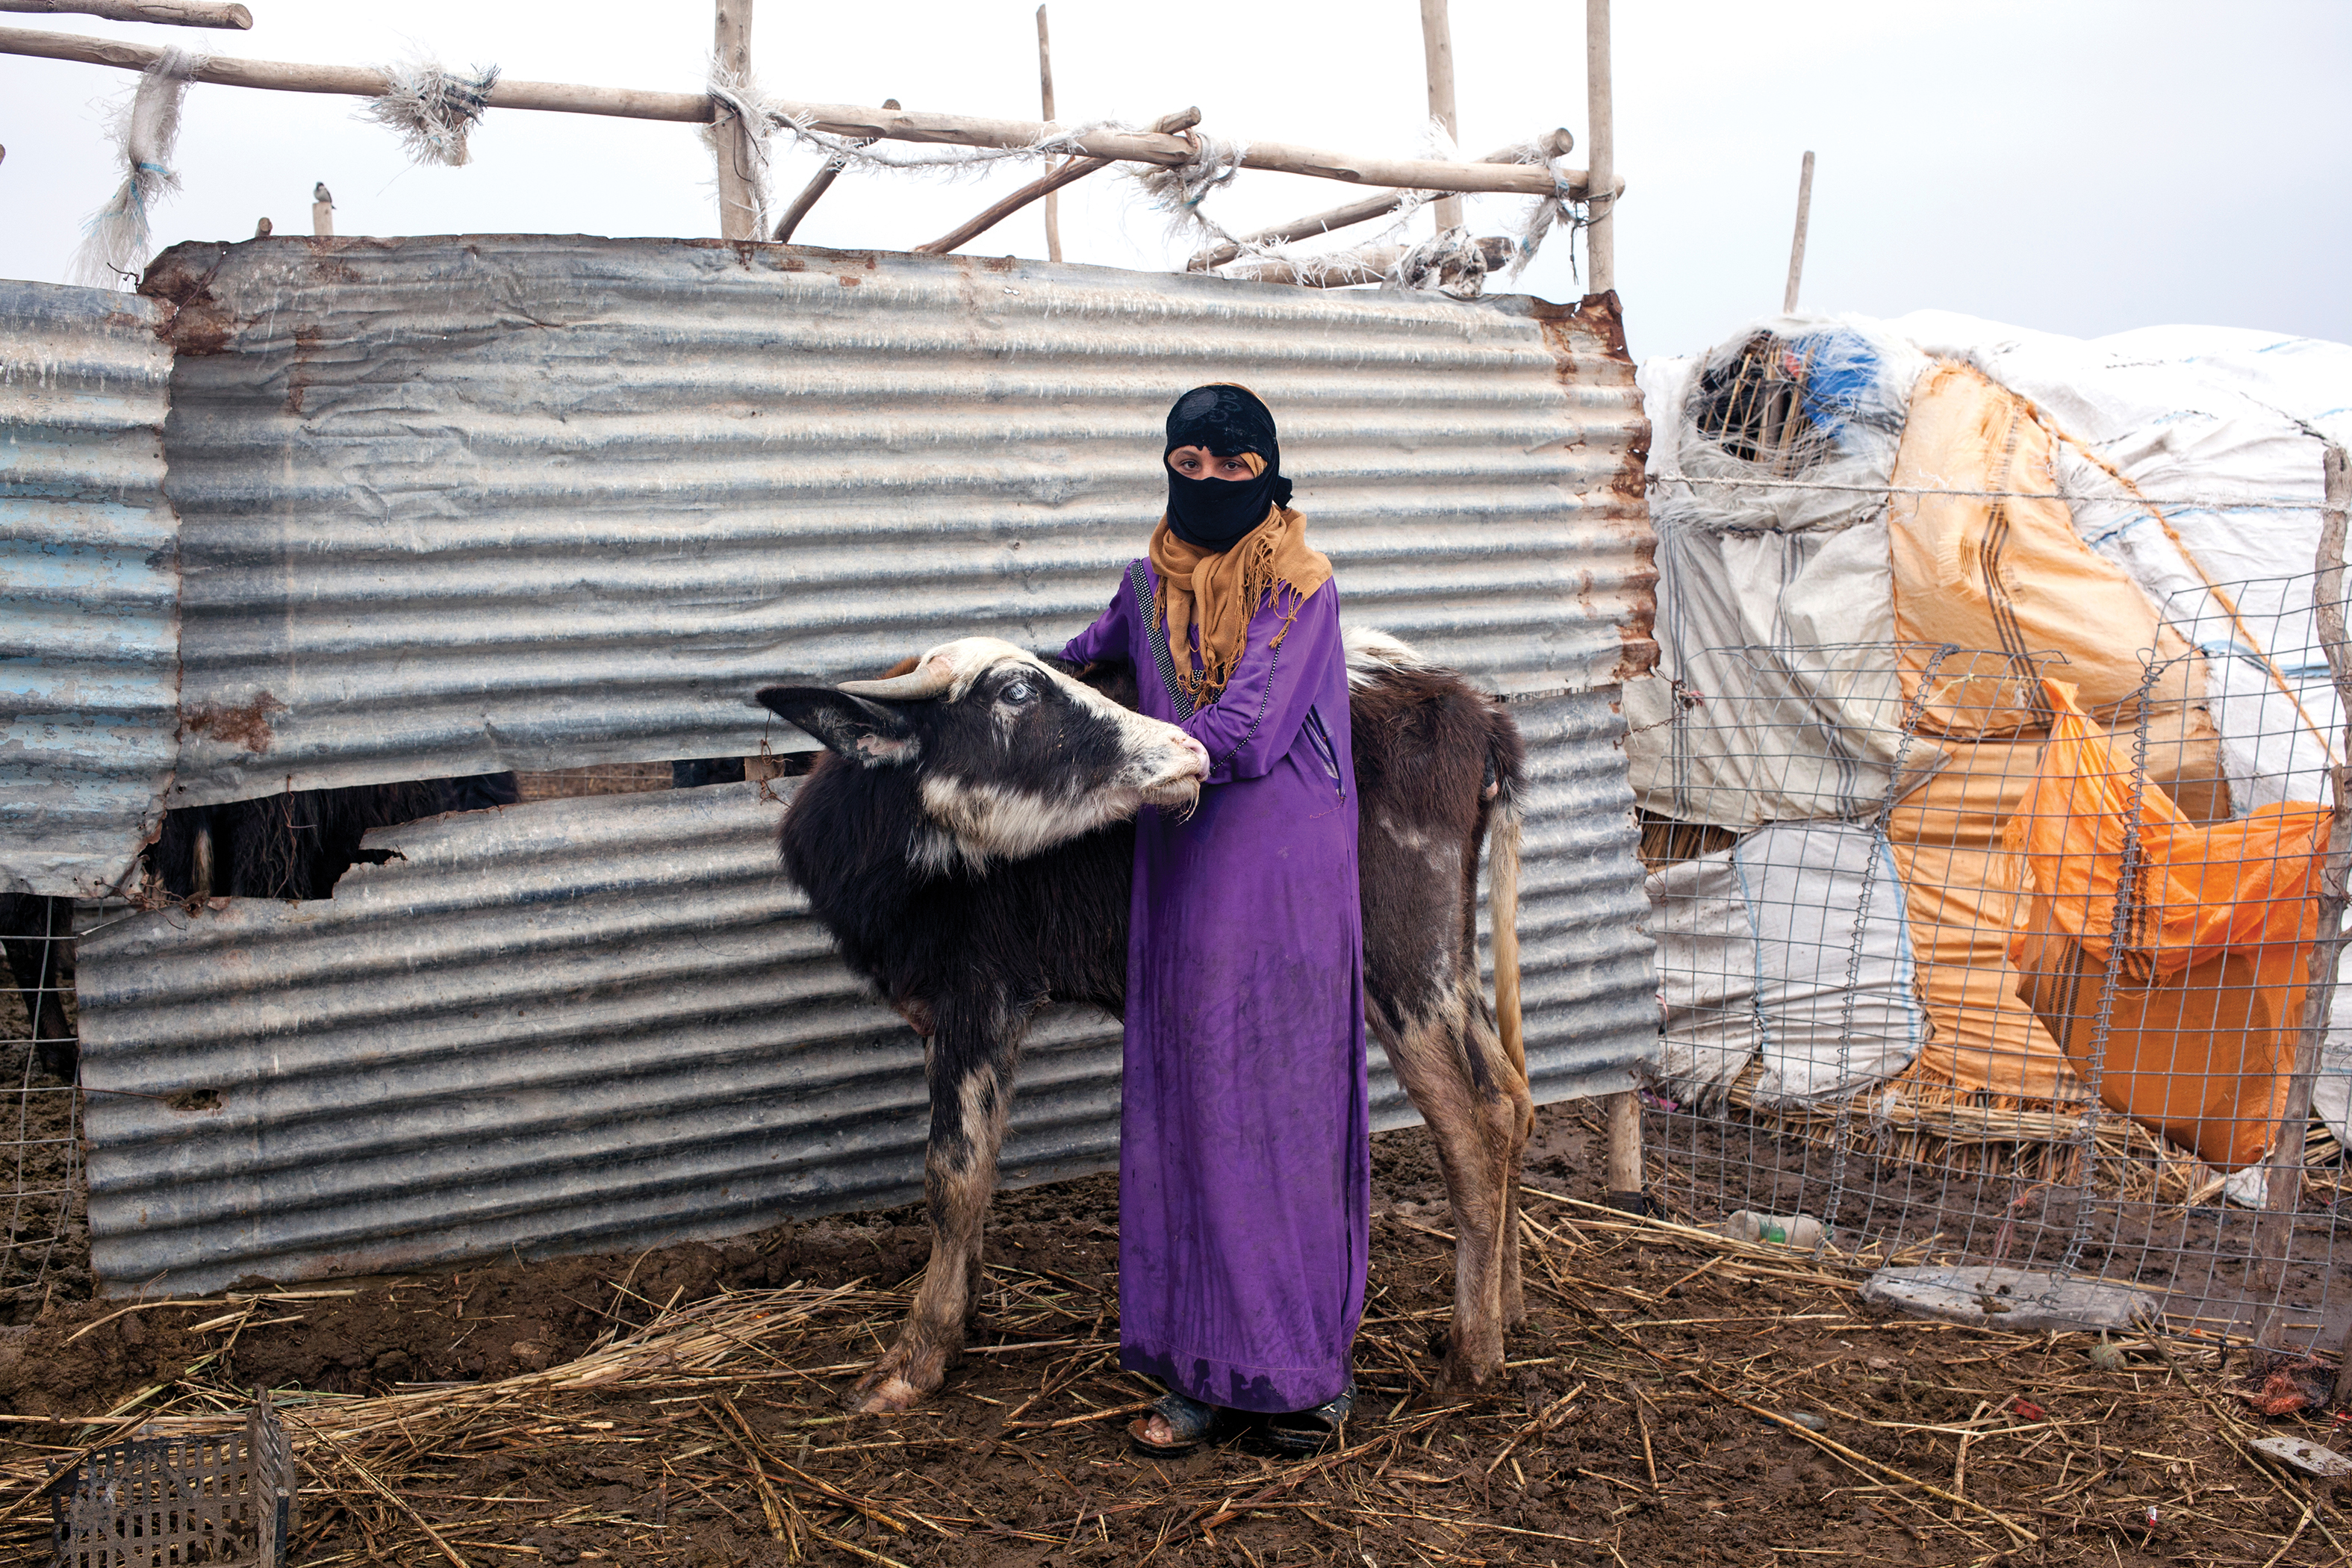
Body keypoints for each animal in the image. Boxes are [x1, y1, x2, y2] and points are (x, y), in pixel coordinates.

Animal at [762, 629, 1533, 1419]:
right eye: (1017, 692)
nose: (1187, 749)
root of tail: (1473, 712)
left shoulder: (981, 1002)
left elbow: (954, 1178)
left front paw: (915, 1359)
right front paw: (962, 1316)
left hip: (1402, 957)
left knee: (1474, 1119)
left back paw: (1472, 1359)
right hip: (1446, 956)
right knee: (1511, 1096)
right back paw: (1505, 1311)